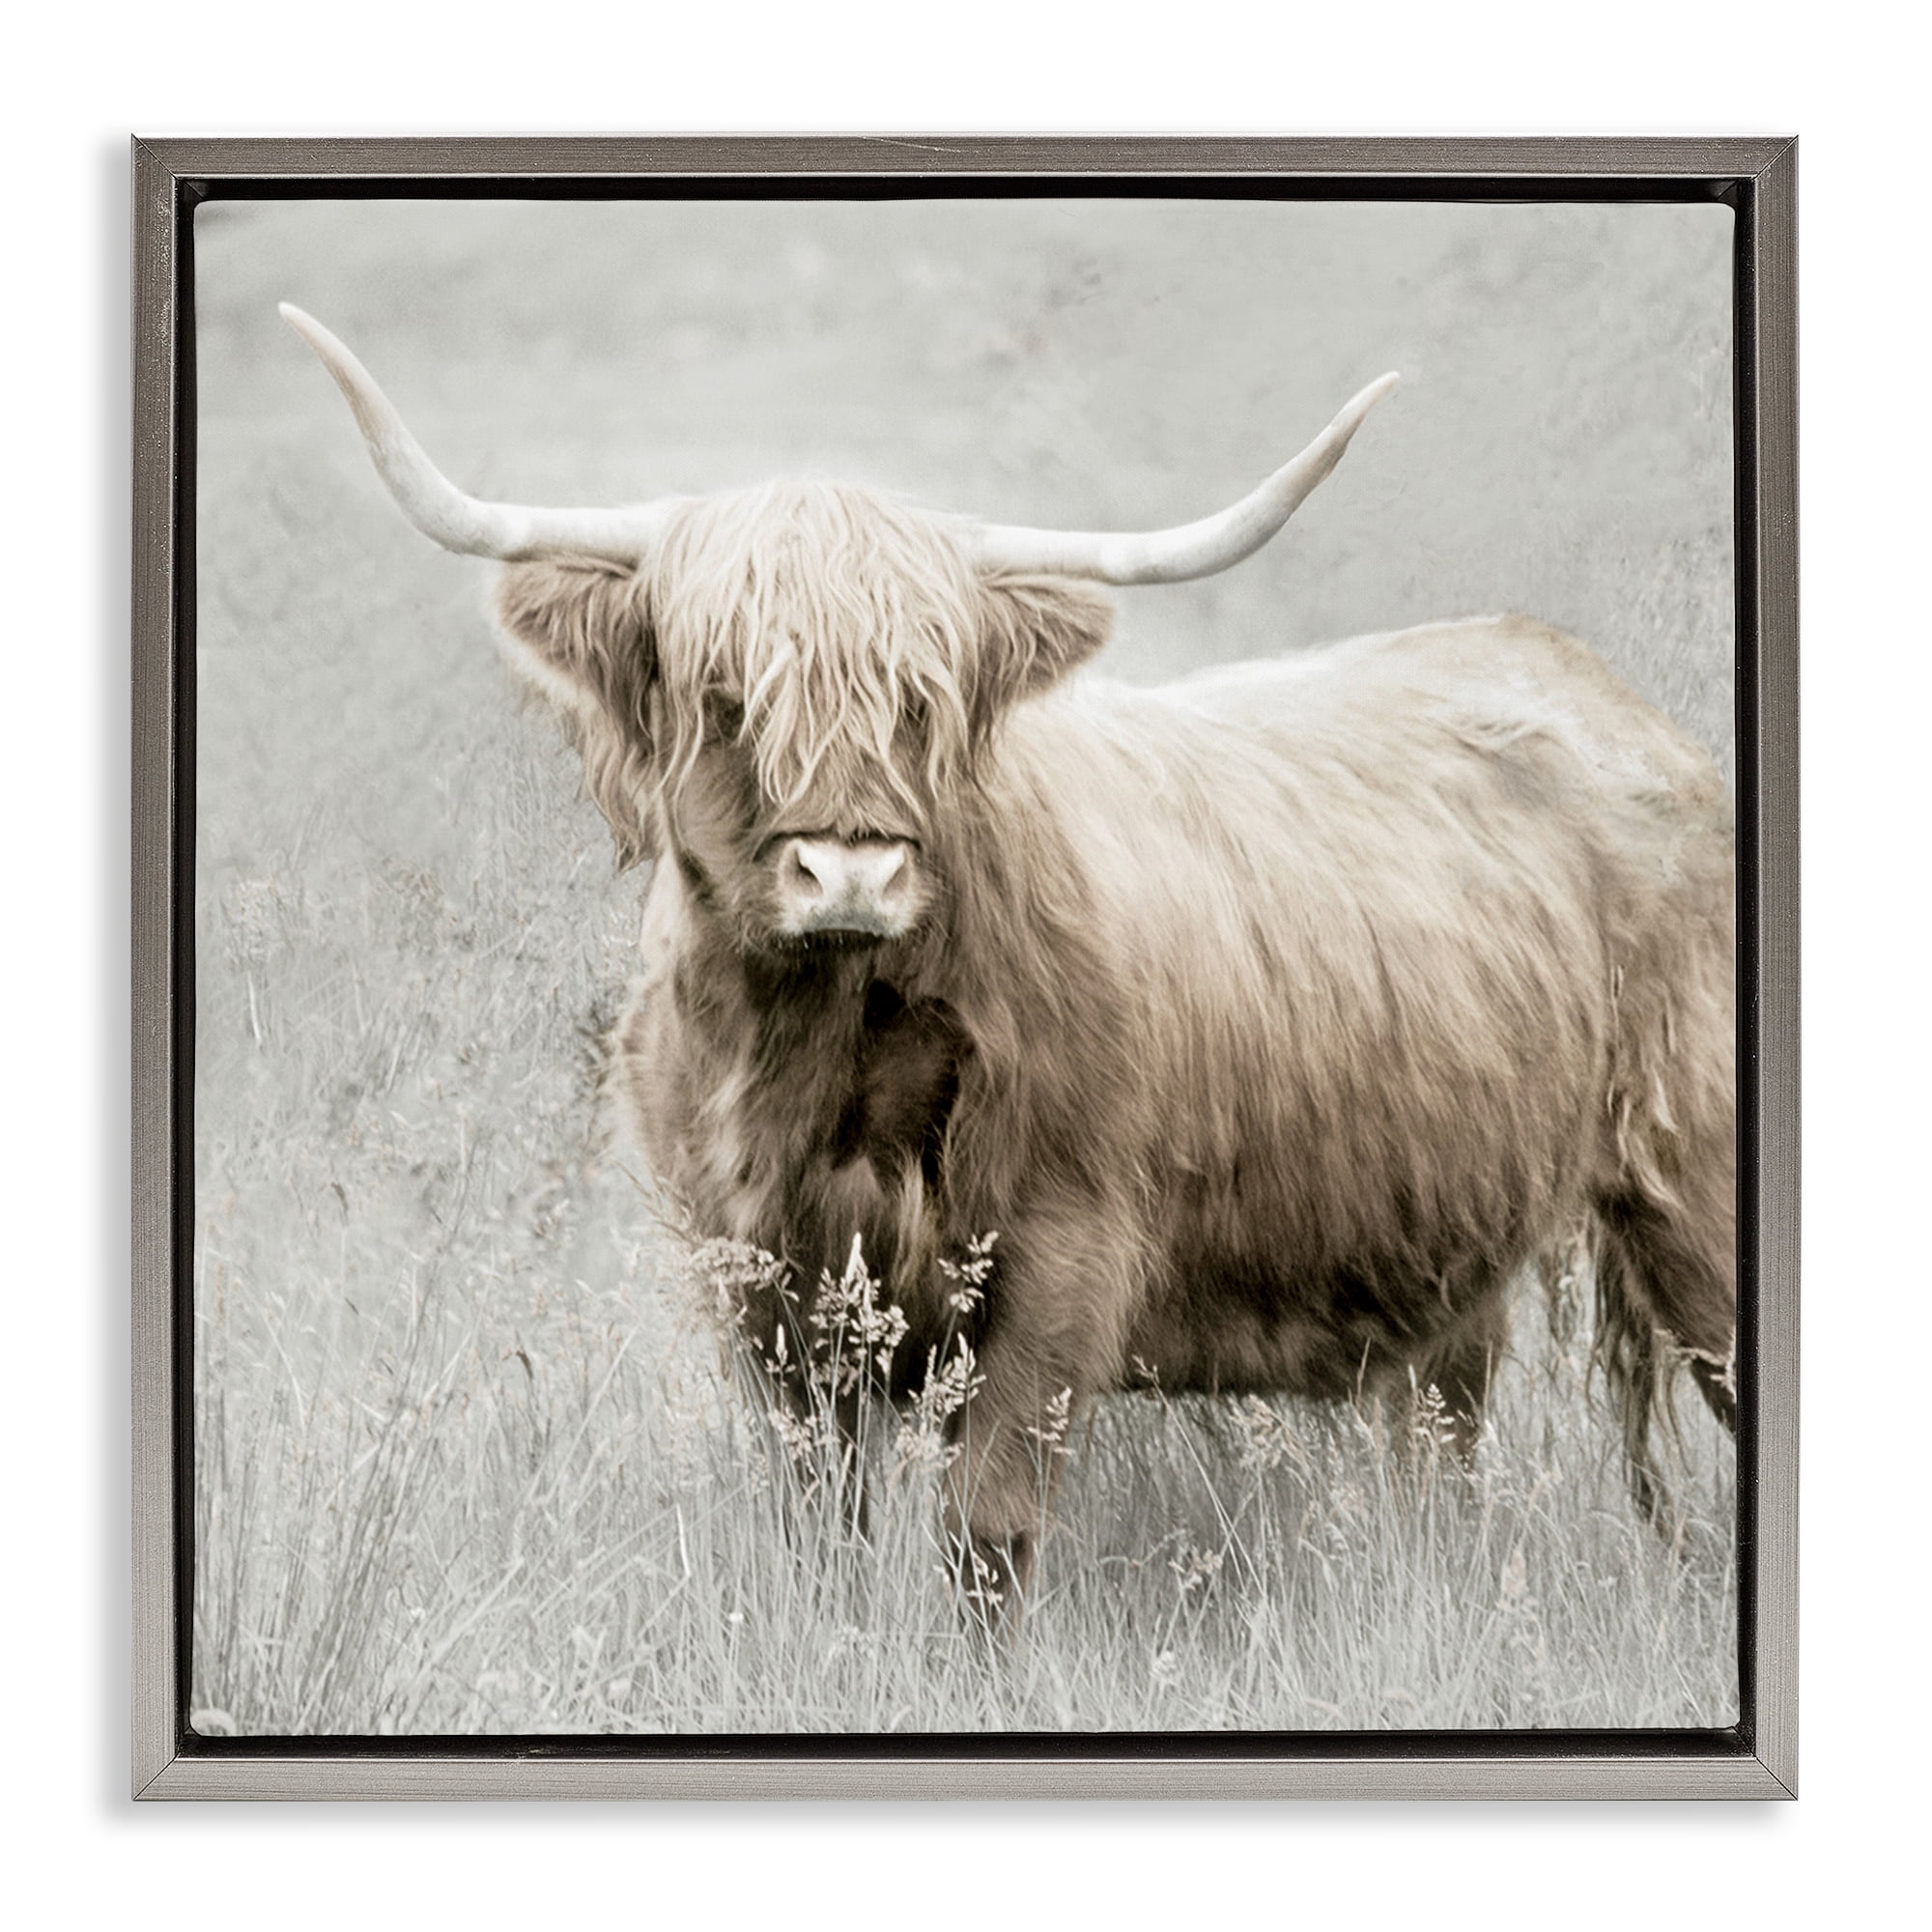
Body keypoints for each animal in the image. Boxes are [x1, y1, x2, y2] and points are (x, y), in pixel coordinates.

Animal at [283, 303, 1737, 1615]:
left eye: (921, 700)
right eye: (726, 694)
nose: (849, 873)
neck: (819, 1055)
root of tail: (1605, 696)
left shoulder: (1059, 1259)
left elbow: (984, 1537)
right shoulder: (754, 1282)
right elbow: (815, 1526)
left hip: (1692, 1182)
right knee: (1445, 1435)